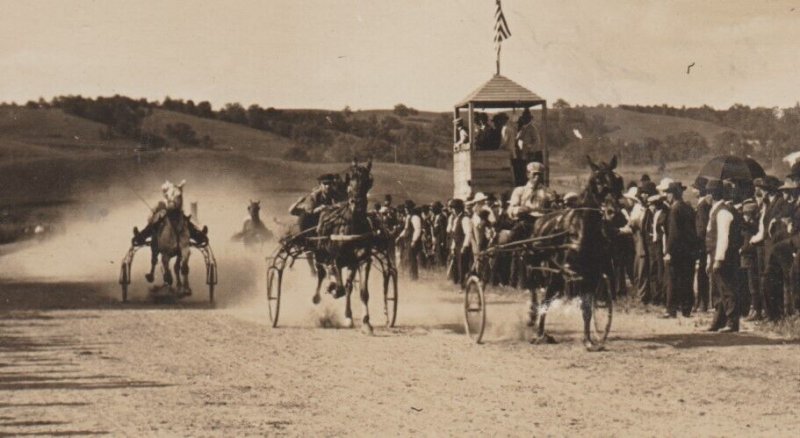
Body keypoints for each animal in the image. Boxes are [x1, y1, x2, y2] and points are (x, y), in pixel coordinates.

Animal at [314, 159, 386, 334]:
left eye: (368, 180)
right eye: (350, 179)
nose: (357, 203)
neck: (353, 226)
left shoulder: (363, 260)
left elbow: (362, 292)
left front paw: (366, 323)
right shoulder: (336, 259)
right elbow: (338, 287)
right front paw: (332, 288)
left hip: (351, 263)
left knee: (347, 286)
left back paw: (348, 316)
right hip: (321, 252)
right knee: (322, 272)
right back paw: (321, 292)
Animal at [532, 156, 624, 350]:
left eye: (617, 181)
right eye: (596, 181)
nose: (613, 214)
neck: (584, 229)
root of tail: (540, 221)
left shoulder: (593, 274)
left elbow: (588, 309)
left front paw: (588, 340)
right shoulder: (575, 273)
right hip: (548, 272)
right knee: (543, 298)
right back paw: (538, 333)